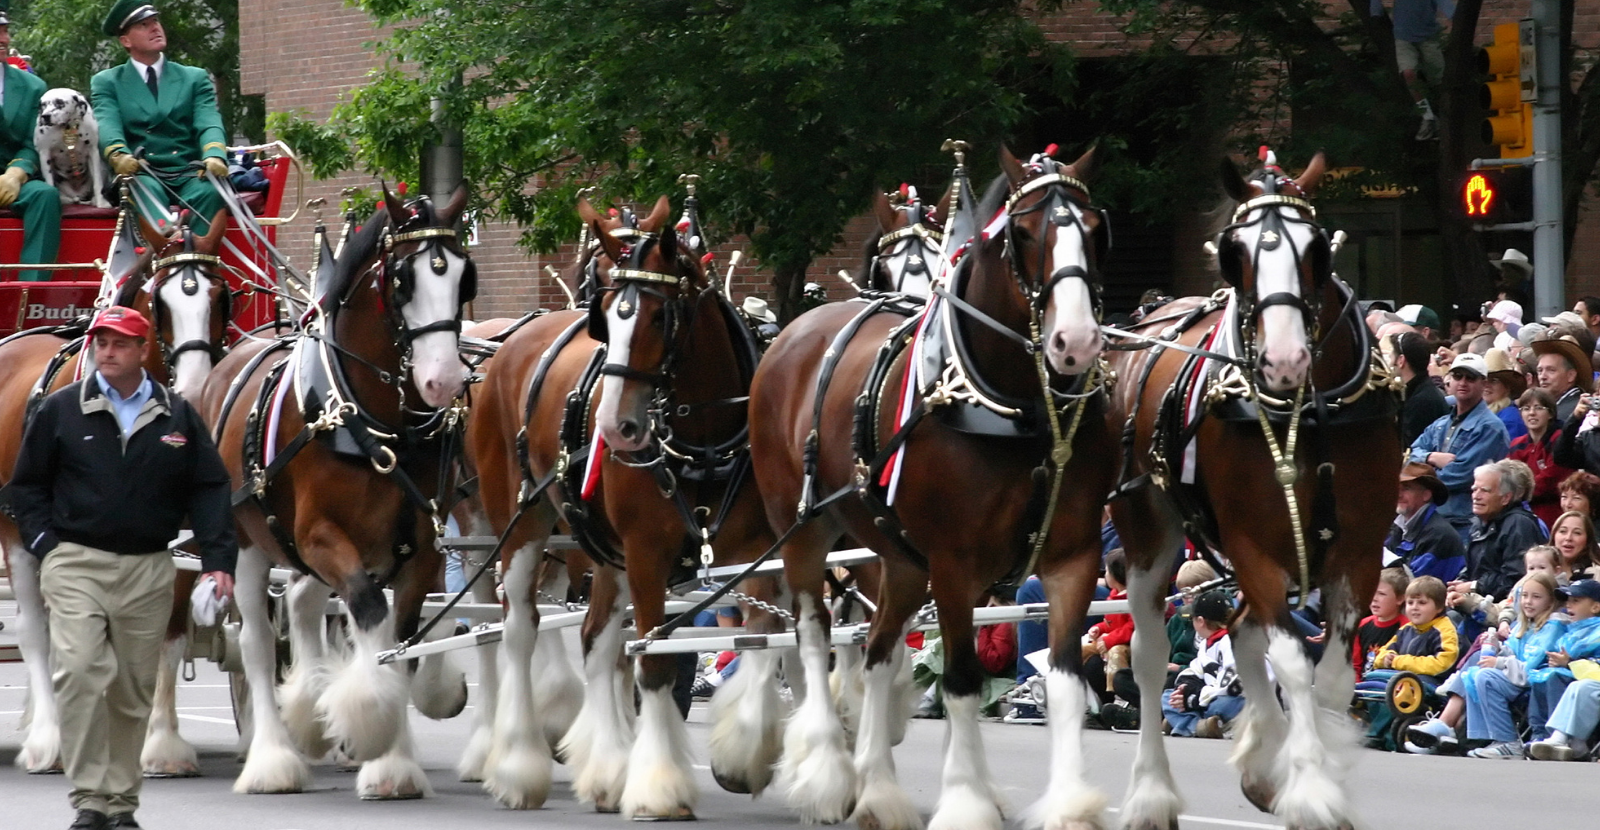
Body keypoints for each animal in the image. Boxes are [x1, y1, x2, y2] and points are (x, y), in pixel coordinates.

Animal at [0, 211, 232, 777]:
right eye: (160, 300)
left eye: (220, 296)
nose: (197, 389)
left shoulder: (179, 538)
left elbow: (166, 631)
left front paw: (160, 740)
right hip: (15, 531)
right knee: (35, 629)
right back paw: (47, 738)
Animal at [200, 187, 473, 799]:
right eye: (403, 280)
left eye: (464, 278)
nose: (444, 380)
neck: (375, 423)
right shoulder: (319, 535)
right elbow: (370, 610)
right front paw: (370, 723)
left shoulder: (422, 551)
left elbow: (402, 641)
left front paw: (393, 764)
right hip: (248, 543)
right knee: (256, 643)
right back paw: (272, 759)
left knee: (302, 602)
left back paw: (307, 710)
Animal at [464, 196, 787, 818]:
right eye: (606, 320)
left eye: (660, 318)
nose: (616, 427)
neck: (702, 439)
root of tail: (507, 345)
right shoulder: (646, 554)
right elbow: (653, 660)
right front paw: (659, 786)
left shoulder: (754, 552)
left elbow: (761, 636)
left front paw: (742, 755)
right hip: (521, 526)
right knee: (519, 628)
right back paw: (517, 764)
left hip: (601, 549)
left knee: (596, 640)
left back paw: (608, 768)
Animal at [745, 146, 1113, 825]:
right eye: (1024, 233)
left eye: (1097, 228)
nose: (1074, 343)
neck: (1018, 409)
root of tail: (793, 332)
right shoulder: (954, 562)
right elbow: (962, 679)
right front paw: (966, 799)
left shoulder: (1073, 556)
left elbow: (1065, 679)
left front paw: (1069, 803)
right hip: (805, 531)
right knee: (811, 634)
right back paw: (827, 774)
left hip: (896, 555)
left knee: (878, 649)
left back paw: (876, 786)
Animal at [1100, 151, 1401, 830]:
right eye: (1233, 253)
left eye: (1316, 249)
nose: (1284, 360)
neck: (1307, 408)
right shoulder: (1255, 545)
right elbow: (1291, 661)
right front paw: (1311, 787)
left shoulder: (1359, 551)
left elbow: (1333, 676)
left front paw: (1315, 775)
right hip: (1148, 530)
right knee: (1152, 657)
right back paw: (1151, 794)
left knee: (1238, 630)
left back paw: (1263, 768)